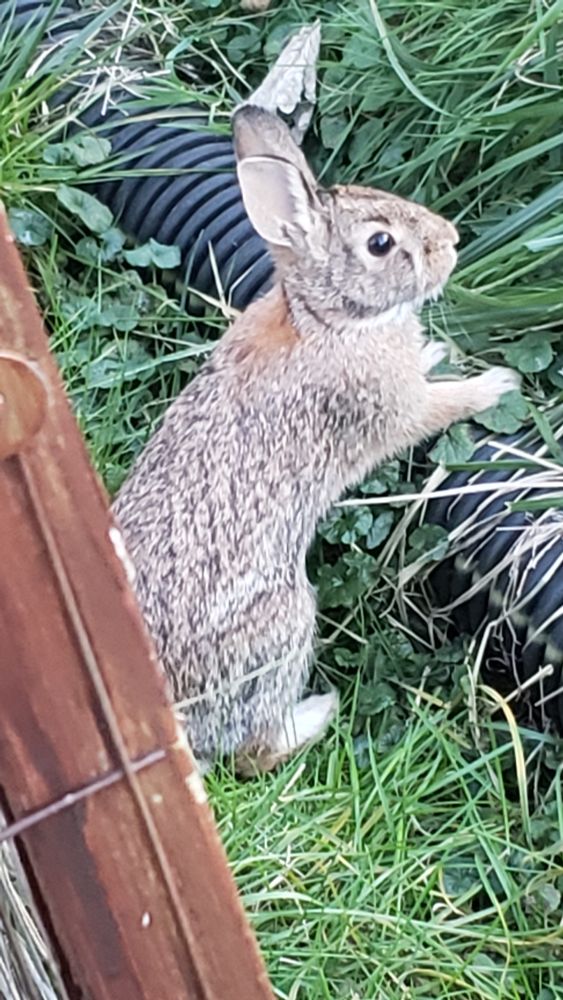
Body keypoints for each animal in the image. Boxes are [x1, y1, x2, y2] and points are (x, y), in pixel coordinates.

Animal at [112, 104, 520, 776]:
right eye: (380, 243)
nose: (451, 240)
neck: (328, 320)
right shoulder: (390, 409)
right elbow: (436, 407)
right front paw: (496, 384)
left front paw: (434, 351)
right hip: (285, 625)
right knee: (252, 752)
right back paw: (318, 712)